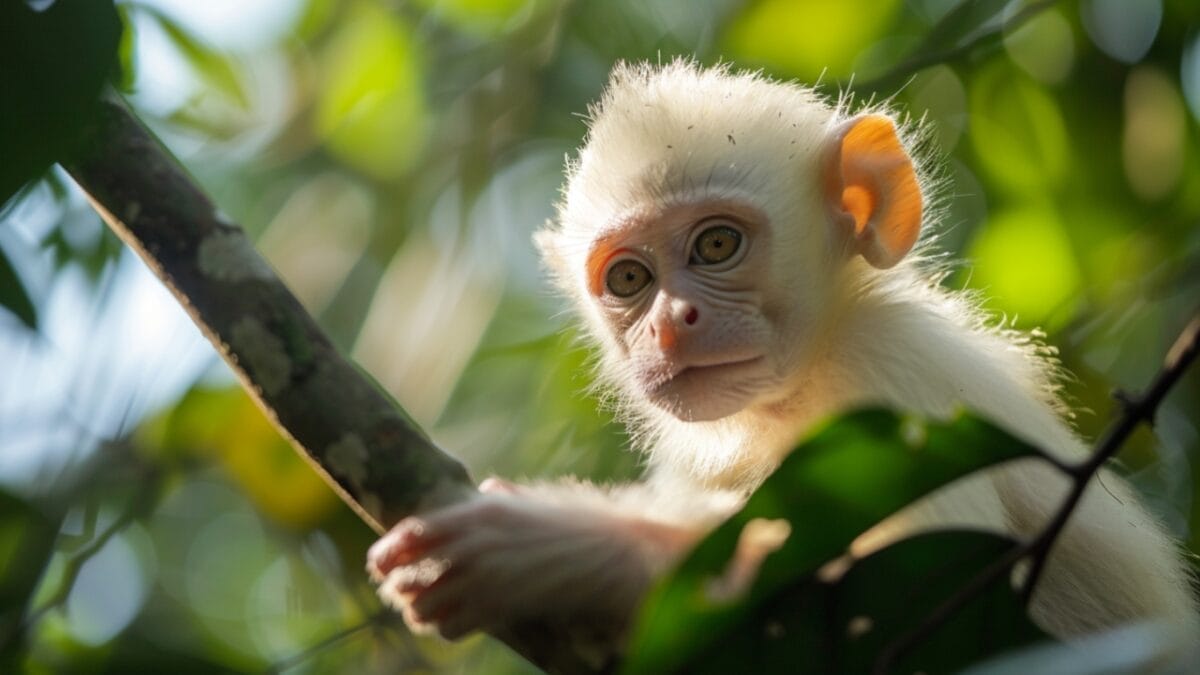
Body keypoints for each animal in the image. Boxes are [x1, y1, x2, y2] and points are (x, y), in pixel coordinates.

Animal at [366, 60, 1198, 651]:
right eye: (630, 280)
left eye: (717, 245)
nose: (669, 324)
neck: (805, 381)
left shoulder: (896, 378)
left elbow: (910, 604)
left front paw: (555, 549)